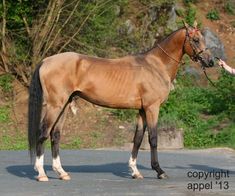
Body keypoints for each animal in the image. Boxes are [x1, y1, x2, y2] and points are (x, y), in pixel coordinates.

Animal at [28, 21, 215, 181]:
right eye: (196, 40)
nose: (210, 61)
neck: (155, 65)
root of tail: (46, 61)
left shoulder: (142, 110)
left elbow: (138, 139)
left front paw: (135, 171)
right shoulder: (152, 108)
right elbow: (153, 139)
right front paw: (159, 171)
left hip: (65, 105)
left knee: (55, 135)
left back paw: (61, 172)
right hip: (55, 106)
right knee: (43, 133)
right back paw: (41, 173)